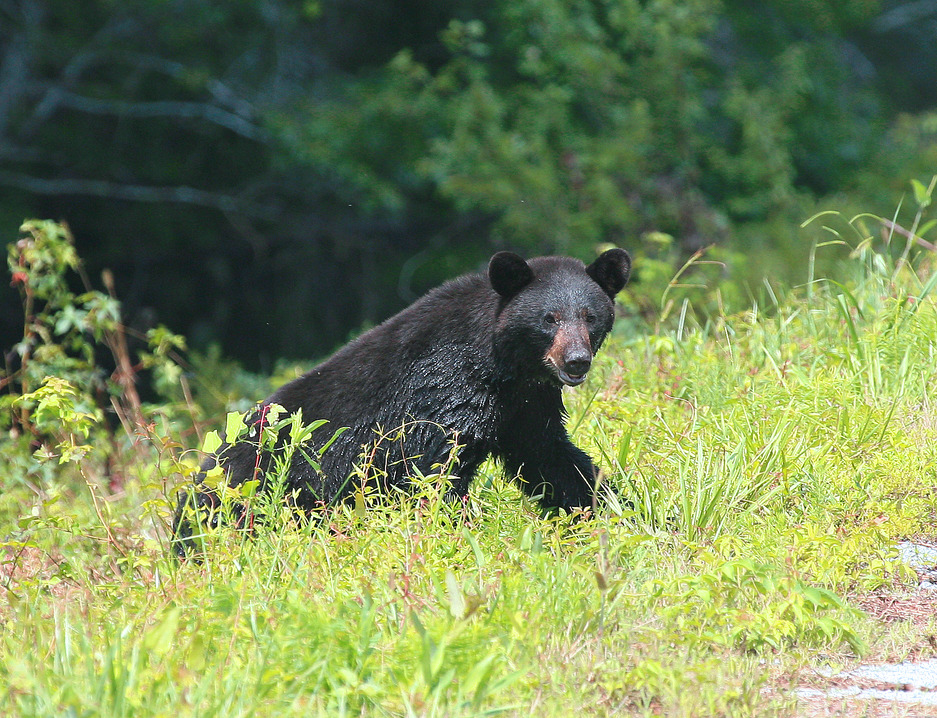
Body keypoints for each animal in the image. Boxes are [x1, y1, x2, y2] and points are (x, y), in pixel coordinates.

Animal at [173, 245, 632, 556]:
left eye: (590, 316)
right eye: (549, 319)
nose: (576, 361)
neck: (501, 365)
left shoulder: (526, 404)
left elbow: (552, 458)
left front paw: (619, 508)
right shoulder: (446, 391)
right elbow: (435, 470)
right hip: (255, 493)